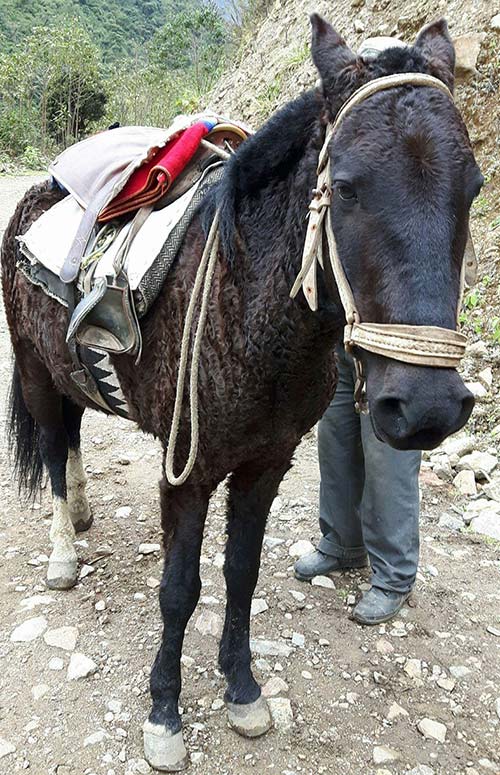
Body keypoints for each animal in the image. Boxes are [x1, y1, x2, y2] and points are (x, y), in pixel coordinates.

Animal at [1, 15, 482, 771]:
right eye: (347, 187)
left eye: (474, 189)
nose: (426, 406)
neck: (247, 302)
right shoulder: (189, 469)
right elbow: (179, 589)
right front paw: (165, 712)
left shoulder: (266, 464)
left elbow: (241, 573)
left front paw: (243, 688)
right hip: (33, 372)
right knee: (52, 448)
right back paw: (62, 552)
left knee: (73, 437)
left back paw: (79, 512)